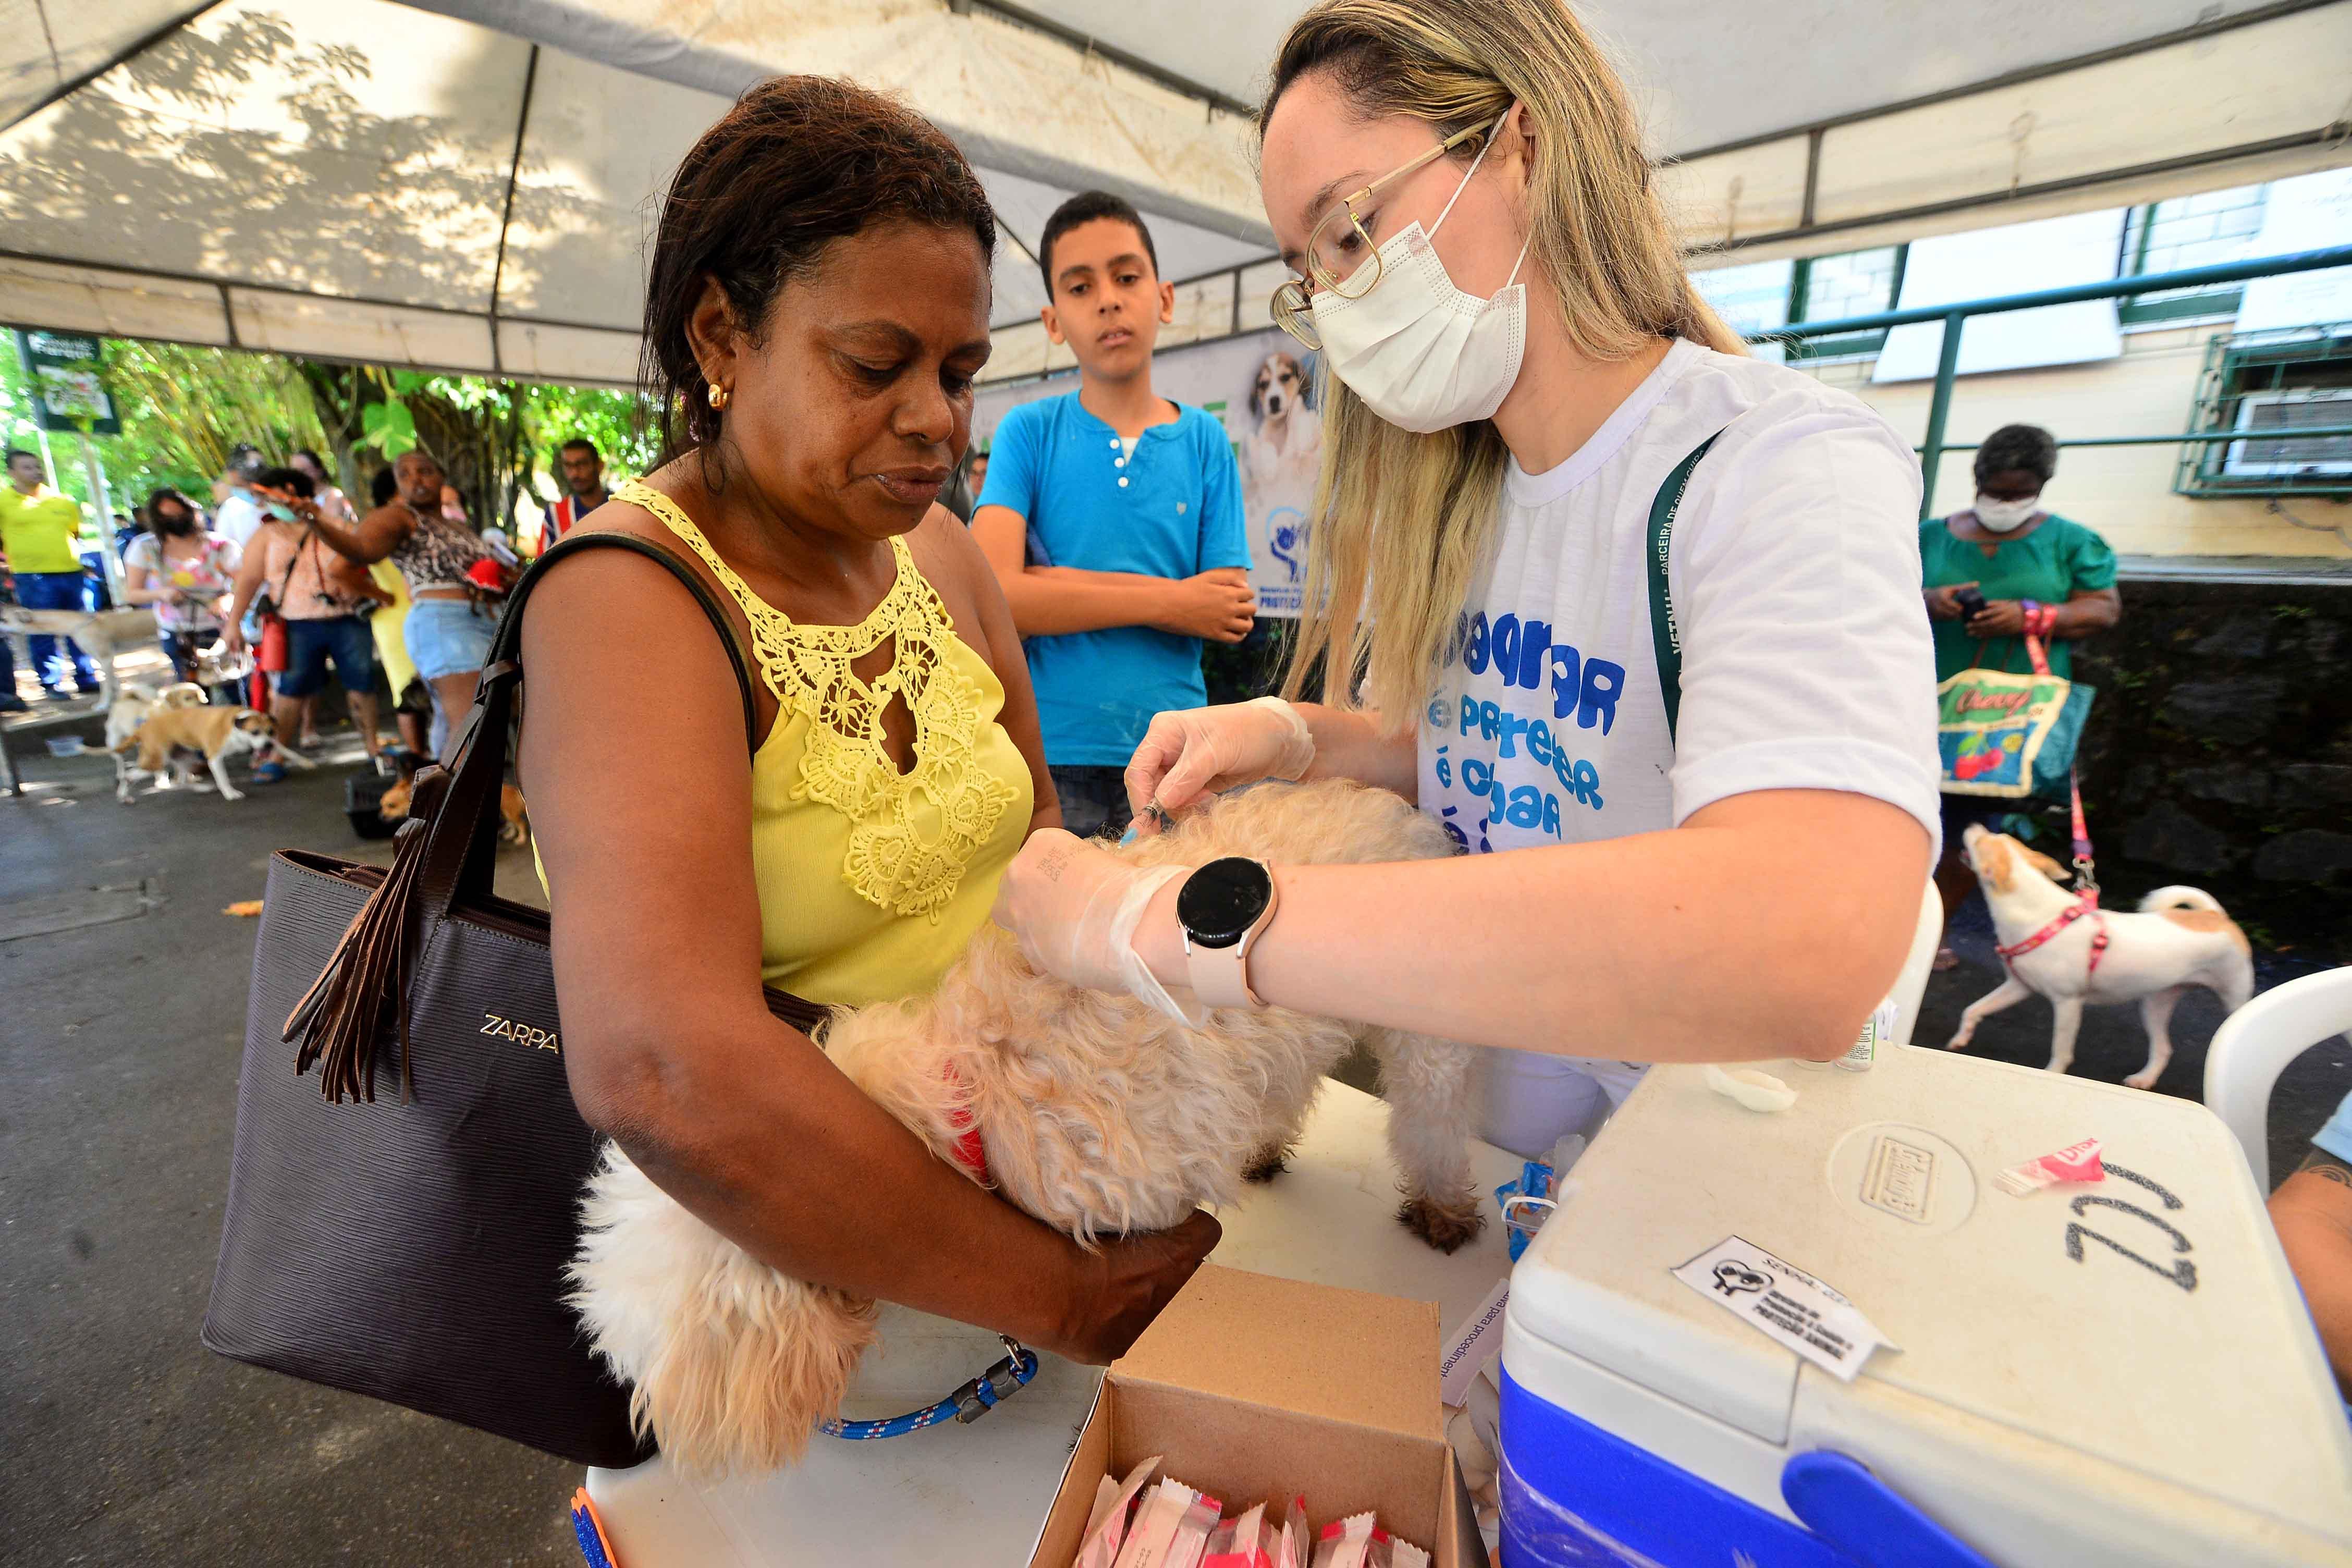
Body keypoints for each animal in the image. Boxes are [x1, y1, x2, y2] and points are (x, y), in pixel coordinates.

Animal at [569, 785, 1477, 1486]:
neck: (966, 1090)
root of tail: (1399, 807)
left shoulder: (1143, 1209)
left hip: (1425, 1034)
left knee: (1432, 1117)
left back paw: (1444, 1207)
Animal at [1947, 823, 2258, 1091]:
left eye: (1981, 841)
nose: (1974, 824)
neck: (2038, 915)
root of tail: (2216, 916)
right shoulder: (2018, 987)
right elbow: (1973, 1009)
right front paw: (1961, 1038)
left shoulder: (2068, 1003)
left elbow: (2061, 1051)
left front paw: (2051, 1075)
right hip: (2155, 1004)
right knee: (2163, 1049)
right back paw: (2145, 1079)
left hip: (2232, 999)